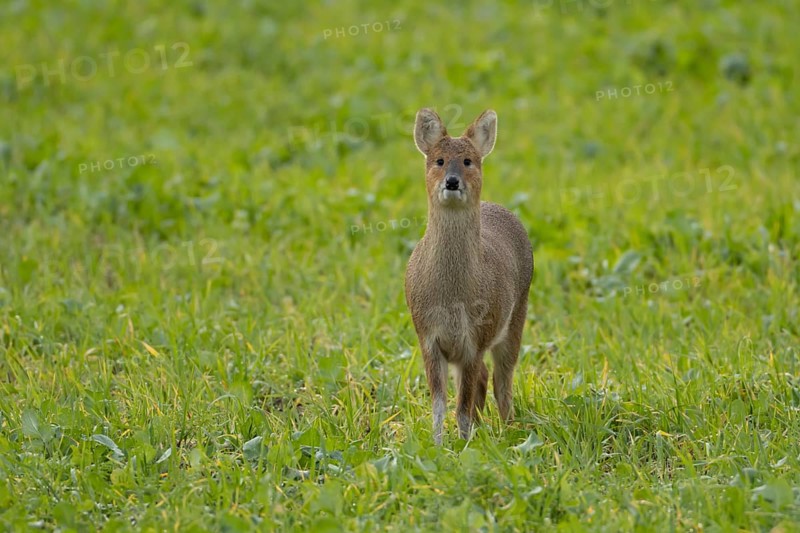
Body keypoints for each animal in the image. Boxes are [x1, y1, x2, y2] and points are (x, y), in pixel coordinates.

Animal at [405, 108, 533, 445]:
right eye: (438, 160)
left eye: (468, 160)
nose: (452, 181)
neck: (451, 296)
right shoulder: (428, 337)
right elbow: (439, 404)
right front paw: (438, 444)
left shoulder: (475, 339)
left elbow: (461, 406)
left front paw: (464, 444)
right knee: (486, 379)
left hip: (516, 317)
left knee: (503, 380)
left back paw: (508, 430)